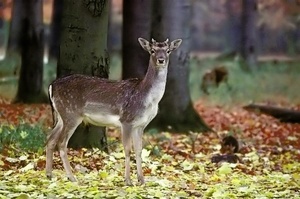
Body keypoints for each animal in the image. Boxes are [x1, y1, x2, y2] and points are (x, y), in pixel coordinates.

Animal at [45, 37, 182, 185]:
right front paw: (128, 180)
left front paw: (141, 180)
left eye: (168, 51)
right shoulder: (126, 120)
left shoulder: (140, 125)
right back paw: (71, 177)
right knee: (61, 142)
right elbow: (127, 150)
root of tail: (51, 86)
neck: (148, 99)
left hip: (61, 116)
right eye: (152, 50)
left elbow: (139, 150)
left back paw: (49, 174)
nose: (161, 60)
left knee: (50, 139)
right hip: (71, 114)